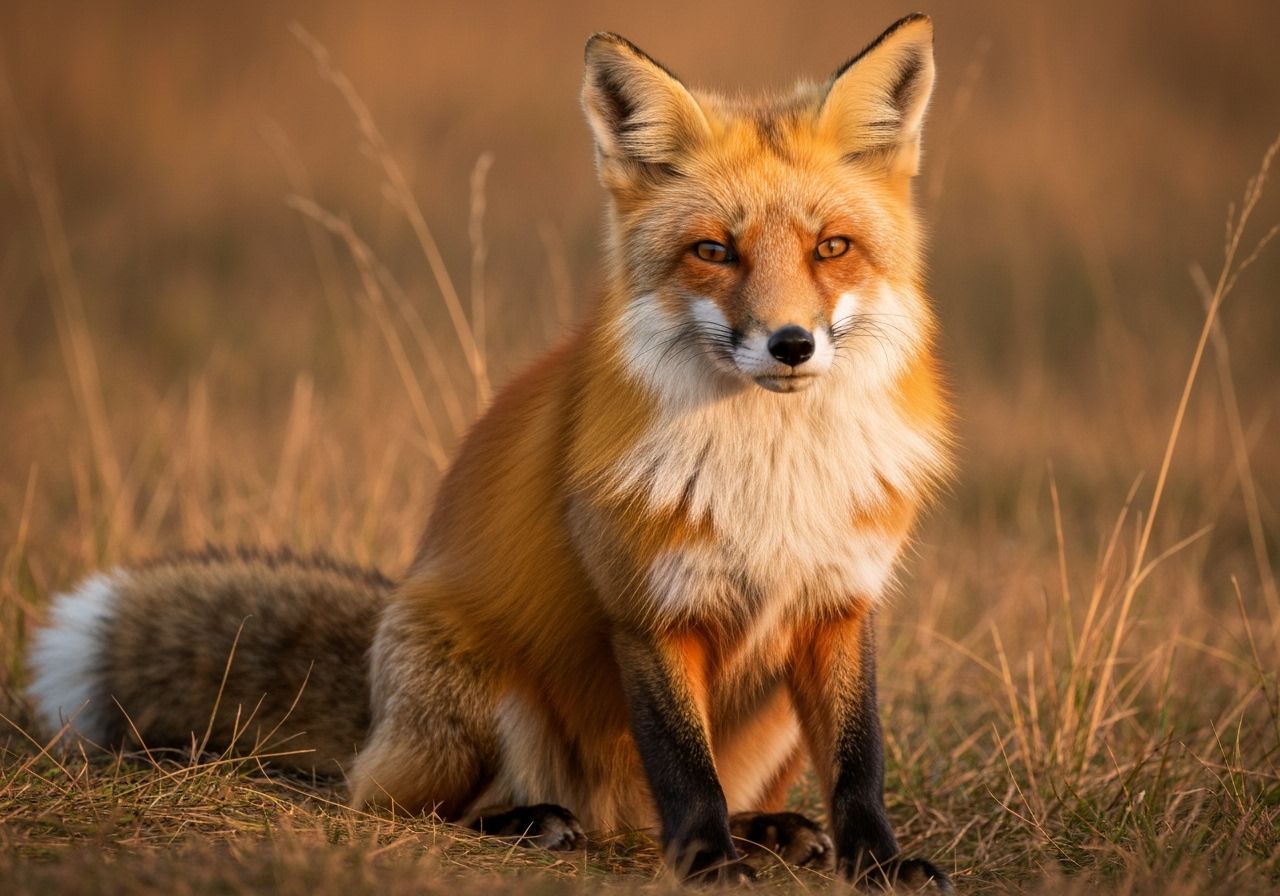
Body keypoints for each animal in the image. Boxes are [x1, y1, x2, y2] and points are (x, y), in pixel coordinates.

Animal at [28, 13, 953, 890]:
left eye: (831, 248)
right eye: (714, 251)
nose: (791, 345)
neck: (772, 476)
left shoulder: (840, 605)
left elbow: (858, 765)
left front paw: (878, 865)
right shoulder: (647, 608)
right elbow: (685, 769)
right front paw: (708, 864)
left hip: (768, 721)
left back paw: (769, 828)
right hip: (479, 694)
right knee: (394, 804)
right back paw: (533, 820)